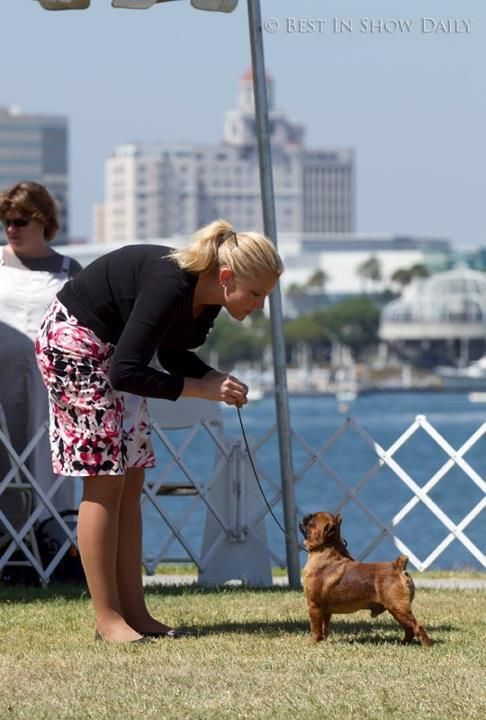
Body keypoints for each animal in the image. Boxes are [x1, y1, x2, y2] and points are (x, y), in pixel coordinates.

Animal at [300, 512, 432, 648]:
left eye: (311, 522)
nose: (306, 516)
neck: (325, 550)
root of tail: (398, 566)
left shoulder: (314, 606)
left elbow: (315, 628)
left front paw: (313, 642)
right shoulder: (325, 611)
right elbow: (324, 628)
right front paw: (323, 641)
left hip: (398, 608)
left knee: (417, 626)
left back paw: (426, 645)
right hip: (397, 611)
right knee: (409, 629)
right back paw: (404, 643)